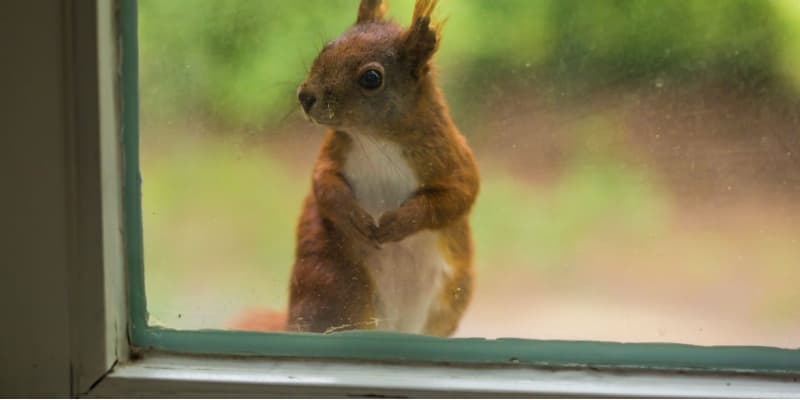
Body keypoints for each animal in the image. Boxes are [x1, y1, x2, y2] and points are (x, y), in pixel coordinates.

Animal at [287, 0, 479, 337]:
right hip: (335, 279)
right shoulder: (333, 153)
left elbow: (458, 196)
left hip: (448, 296)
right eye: (326, 48)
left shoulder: (450, 156)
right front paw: (354, 217)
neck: (374, 138)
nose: (305, 96)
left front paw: (399, 223)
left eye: (371, 78)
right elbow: (324, 183)